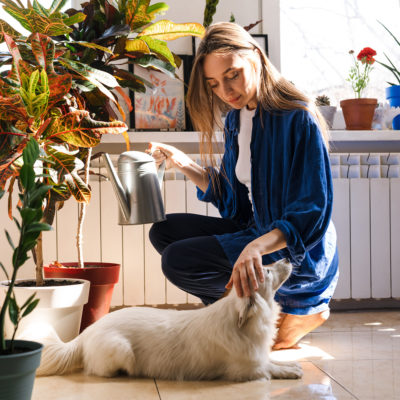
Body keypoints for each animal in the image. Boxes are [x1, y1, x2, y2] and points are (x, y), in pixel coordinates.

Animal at [37, 260, 302, 382]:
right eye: (266, 270)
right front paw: (291, 370)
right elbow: (269, 368)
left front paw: (291, 364)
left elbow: (272, 360)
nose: (288, 258)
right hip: (121, 349)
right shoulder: (246, 369)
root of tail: (86, 333)